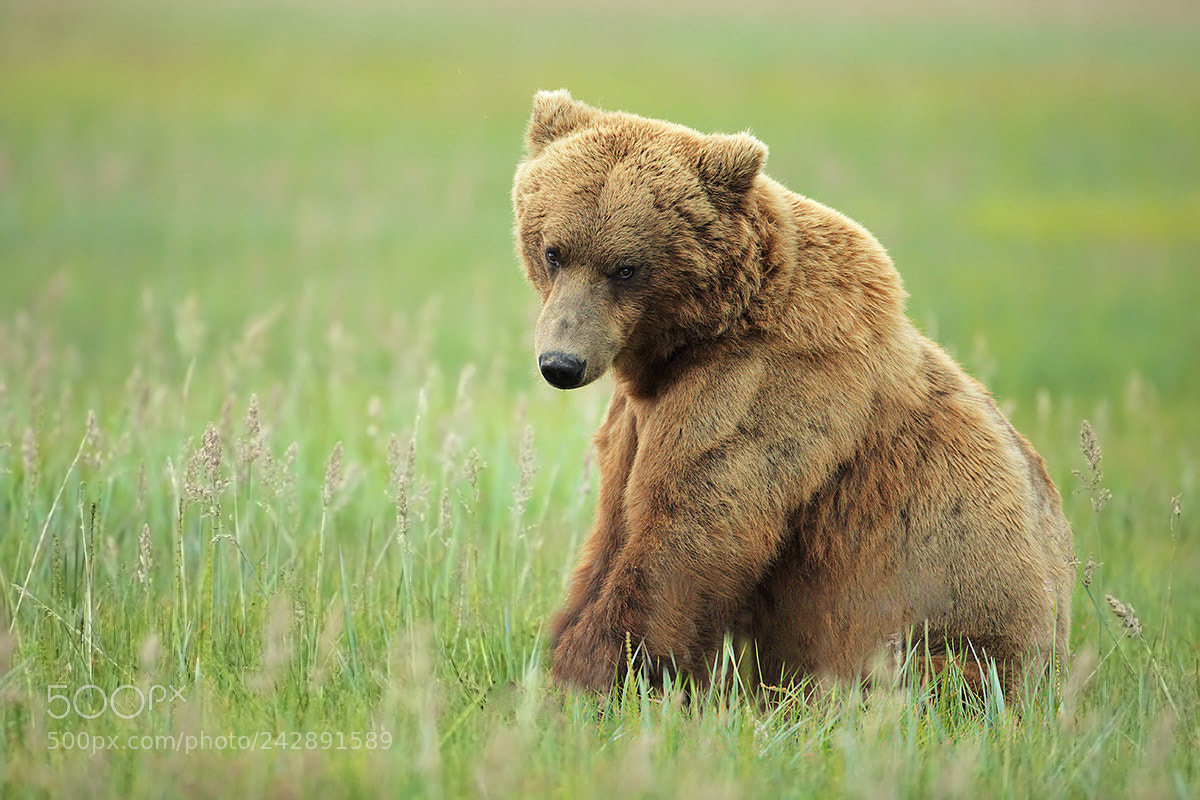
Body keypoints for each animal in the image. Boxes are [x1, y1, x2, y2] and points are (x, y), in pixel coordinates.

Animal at [512, 90, 1075, 700]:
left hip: (957, 636)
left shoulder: (761, 390)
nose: (561, 363)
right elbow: (614, 525)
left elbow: (686, 533)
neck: (697, 337)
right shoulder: (641, 410)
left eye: (625, 267)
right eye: (554, 252)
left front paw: (584, 681)